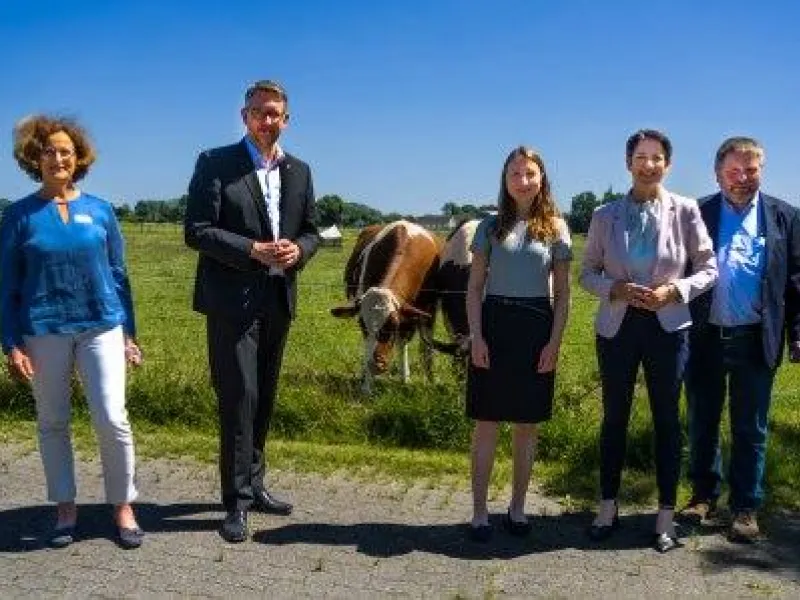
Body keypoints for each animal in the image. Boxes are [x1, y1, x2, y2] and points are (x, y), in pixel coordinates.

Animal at [332, 220, 444, 394]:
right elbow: (367, 347)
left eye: (393, 324)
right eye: (362, 324)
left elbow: (418, 347)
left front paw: (413, 380)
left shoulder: (425, 312)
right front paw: (366, 386)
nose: (376, 365)